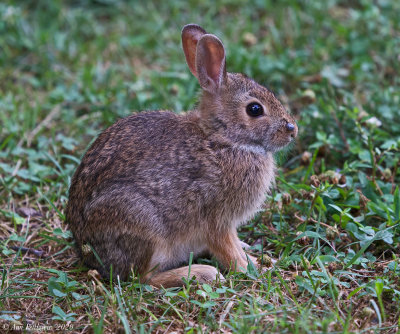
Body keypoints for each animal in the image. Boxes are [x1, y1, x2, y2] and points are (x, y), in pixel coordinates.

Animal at [65, 24, 296, 288]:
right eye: (255, 109)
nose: (292, 130)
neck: (222, 139)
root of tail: (87, 251)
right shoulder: (218, 219)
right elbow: (228, 249)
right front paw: (254, 268)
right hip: (143, 226)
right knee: (143, 279)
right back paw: (201, 273)